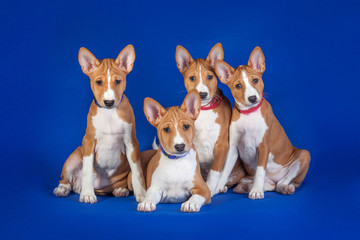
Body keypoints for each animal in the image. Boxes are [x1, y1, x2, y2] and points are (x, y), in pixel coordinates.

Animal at [52, 44, 146, 202]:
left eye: (118, 81)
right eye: (99, 82)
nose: (109, 102)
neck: (109, 114)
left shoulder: (131, 142)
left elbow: (137, 171)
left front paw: (142, 194)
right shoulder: (89, 141)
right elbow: (87, 171)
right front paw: (87, 194)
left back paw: (120, 190)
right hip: (74, 157)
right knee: (66, 180)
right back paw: (64, 189)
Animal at [214, 47, 310, 199]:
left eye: (255, 80)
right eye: (238, 85)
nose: (252, 98)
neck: (249, 114)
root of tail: (274, 179)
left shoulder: (263, 146)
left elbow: (260, 171)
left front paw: (257, 191)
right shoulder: (233, 147)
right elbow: (224, 171)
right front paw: (216, 188)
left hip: (304, 155)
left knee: (283, 182)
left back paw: (284, 188)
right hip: (247, 176)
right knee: (270, 186)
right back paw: (245, 187)